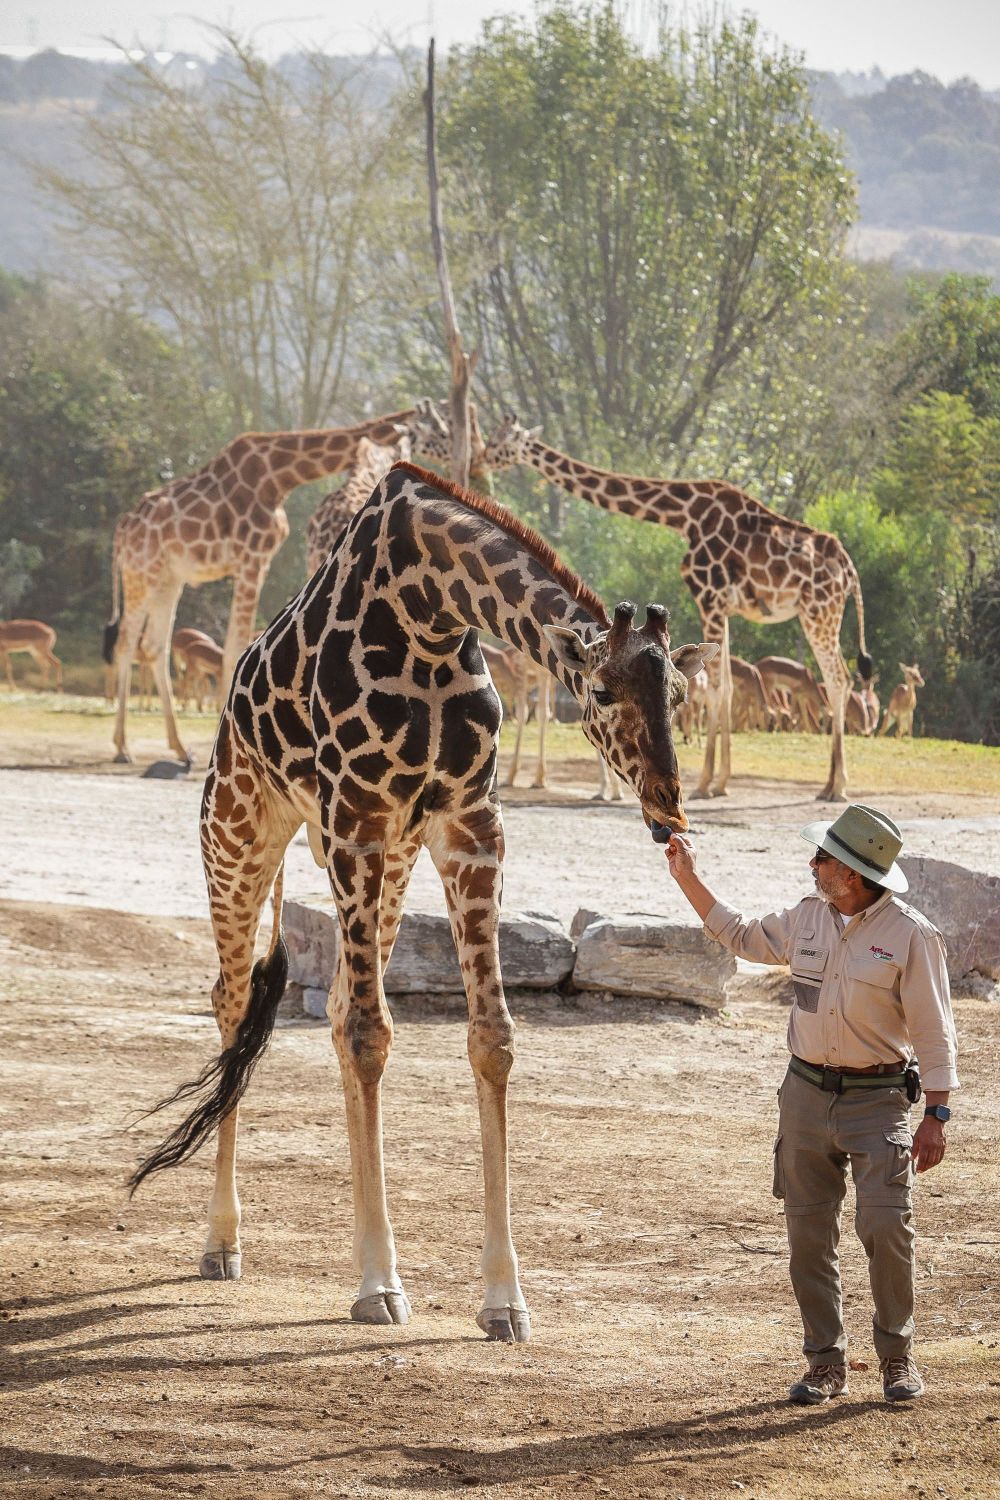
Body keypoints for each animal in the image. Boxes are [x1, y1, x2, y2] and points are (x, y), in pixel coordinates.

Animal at [101, 408, 446, 768]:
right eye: (436, 427)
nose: (451, 452)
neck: (280, 476)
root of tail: (121, 533)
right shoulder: (253, 559)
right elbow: (236, 646)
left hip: (168, 579)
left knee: (154, 646)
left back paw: (179, 748)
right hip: (141, 573)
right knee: (126, 644)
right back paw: (123, 747)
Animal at [128, 462, 716, 1344]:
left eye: (678, 691)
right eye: (603, 690)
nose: (667, 806)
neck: (431, 608)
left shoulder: (468, 821)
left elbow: (491, 1038)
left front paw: (504, 1298)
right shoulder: (356, 816)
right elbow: (374, 1034)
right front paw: (379, 1284)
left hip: (393, 862)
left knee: (337, 1004)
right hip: (239, 830)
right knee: (236, 1004)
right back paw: (223, 1243)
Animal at [479, 411, 869, 804]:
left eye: (500, 441)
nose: (482, 456)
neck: (684, 516)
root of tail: (851, 573)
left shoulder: (709, 596)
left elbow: (718, 687)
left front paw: (707, 782)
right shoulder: (721, 605)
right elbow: (726, 685)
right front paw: (721, 779)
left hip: (819, 611)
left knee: (838, 679)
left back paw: (837, 786)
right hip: (823, 614)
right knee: (841, 678)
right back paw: (830, 784)